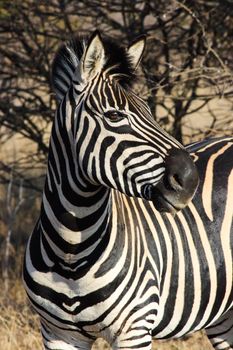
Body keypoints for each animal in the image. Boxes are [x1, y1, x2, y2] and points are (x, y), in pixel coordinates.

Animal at [21, 30, 231, 350]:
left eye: (149, 111)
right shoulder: (57, 333)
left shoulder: (134, 330)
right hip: (224, 316)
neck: (71, 251)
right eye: (115, 117)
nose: (190, 180)